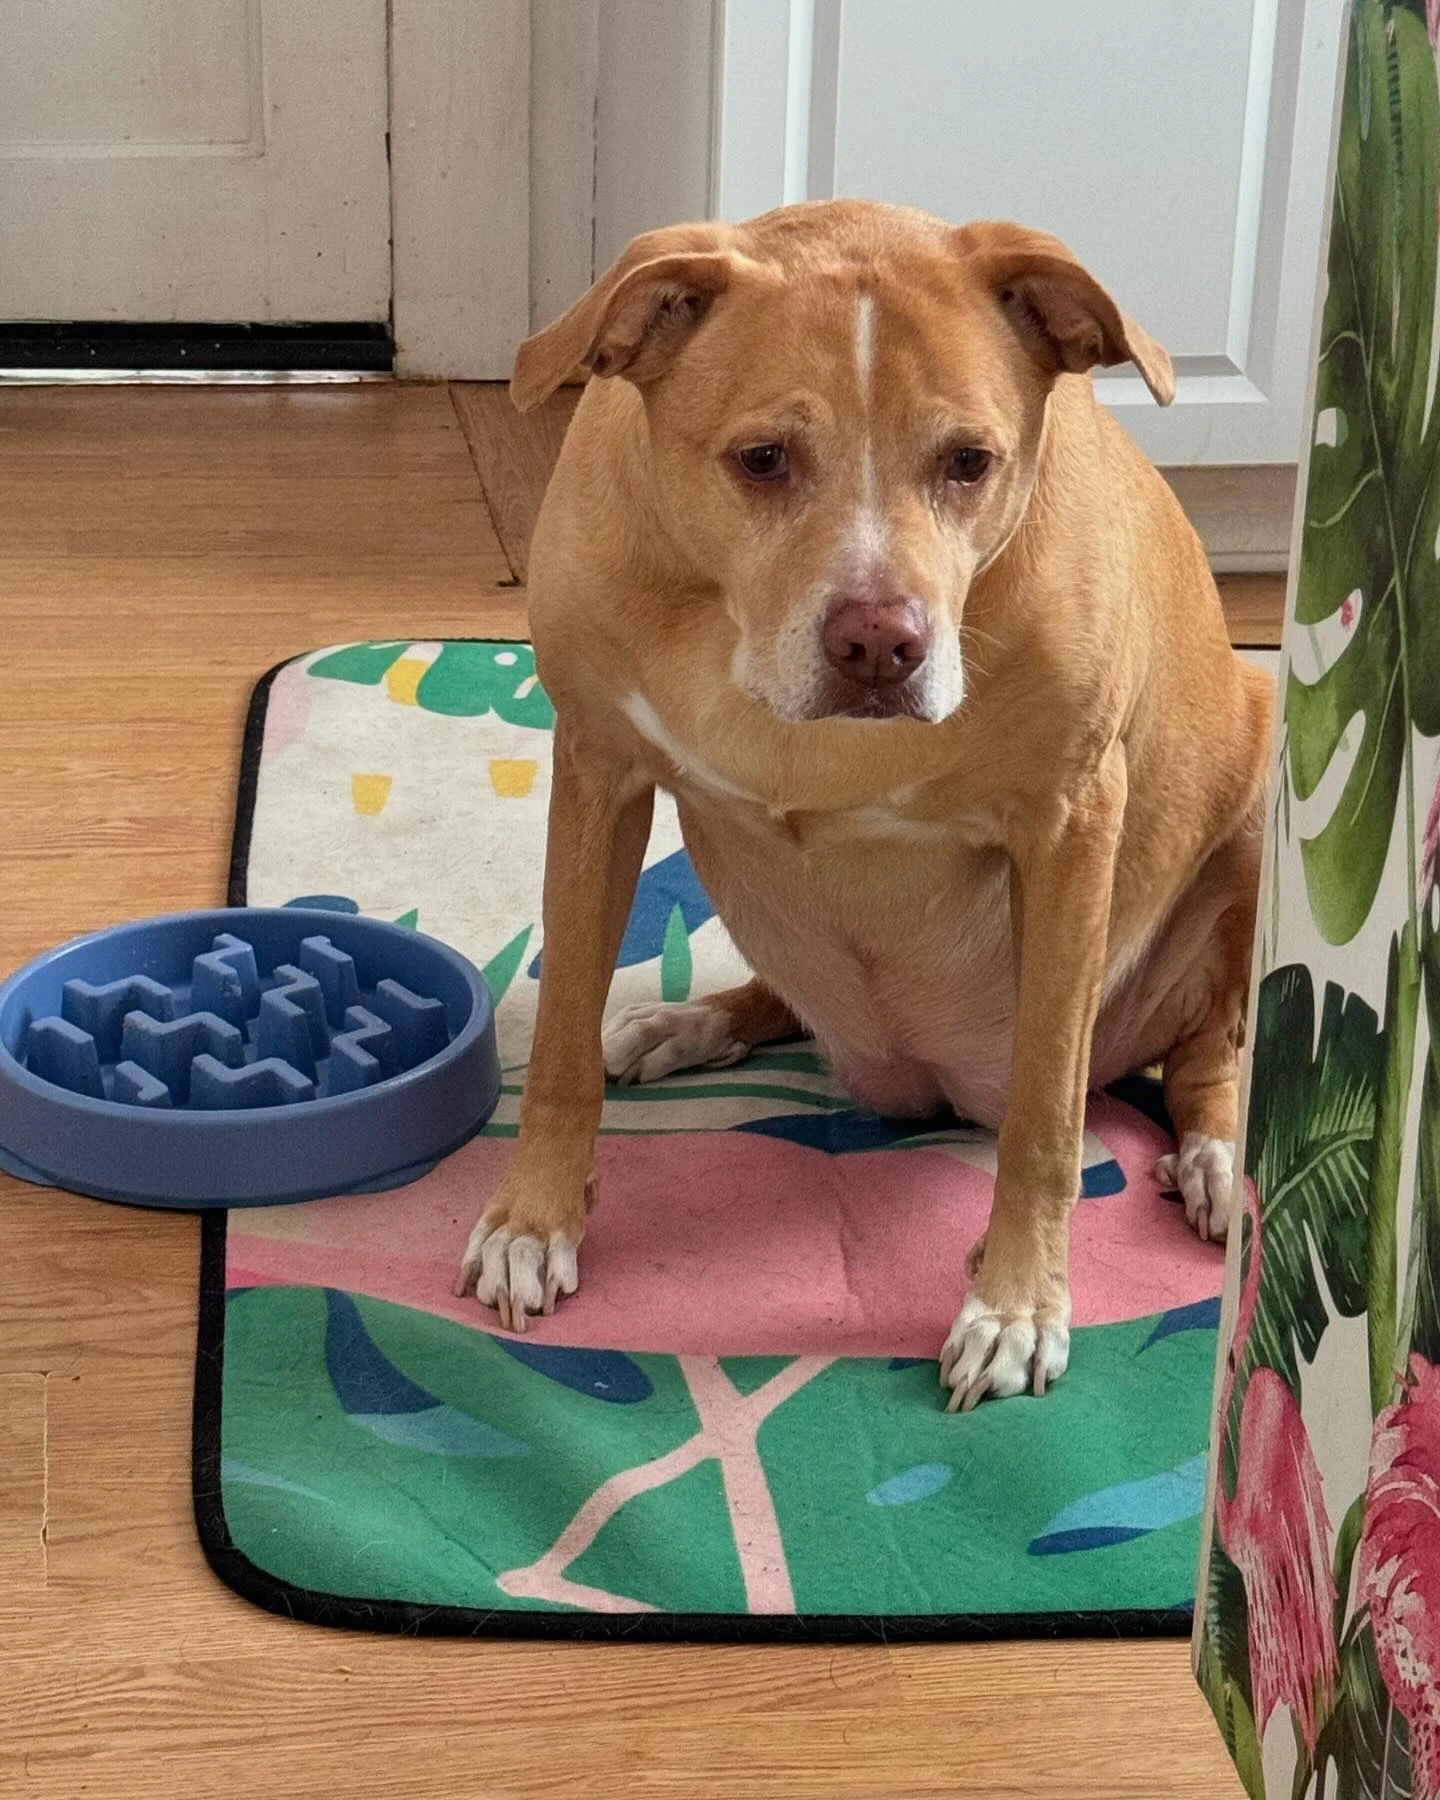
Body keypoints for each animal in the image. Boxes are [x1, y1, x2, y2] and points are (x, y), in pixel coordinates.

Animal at [453, 197, 1274, 1404]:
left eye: (970, 461)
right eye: (762, 458)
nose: (882, 645)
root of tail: (929, 1091)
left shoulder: (1072, 827)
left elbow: (1046, 1112)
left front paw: (1016, 1304)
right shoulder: (599, 773)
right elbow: (556, 1045)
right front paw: (533, 1223)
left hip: (1264, 789)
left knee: (1214, 1044)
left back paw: (1219, 1159)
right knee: (784, 995)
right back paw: (690, 1019)